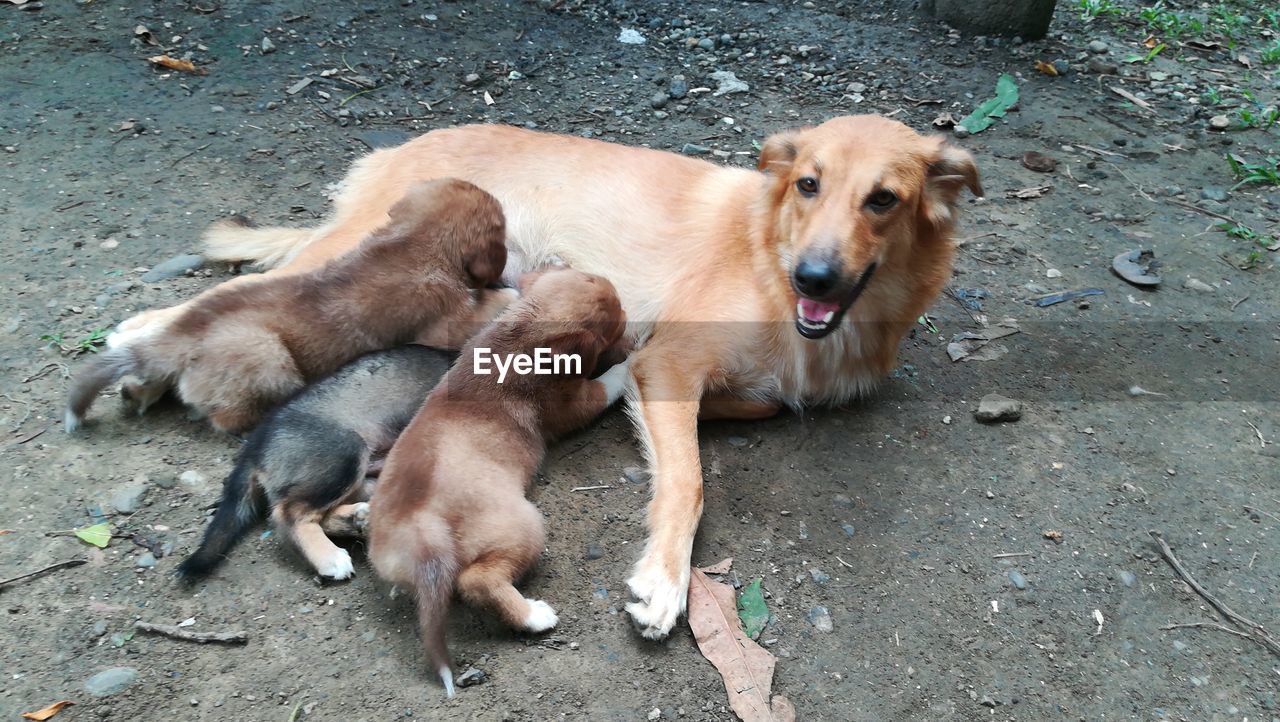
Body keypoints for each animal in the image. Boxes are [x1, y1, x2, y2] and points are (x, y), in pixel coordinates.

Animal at [62, 177, 506, 435]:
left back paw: (135, 391)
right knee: (225, 415)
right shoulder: (450, 320)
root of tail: (183, 338)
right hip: (271, 360)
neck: (411, 242)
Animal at [368, 267, 632, 696]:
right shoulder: (576, 402)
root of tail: (422, 530)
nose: (631, 322)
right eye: (616, 320)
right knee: (476, 581)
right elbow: (610, 382)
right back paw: (532, 616)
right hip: (524, 525)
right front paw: (634, 359)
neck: (519, 332)